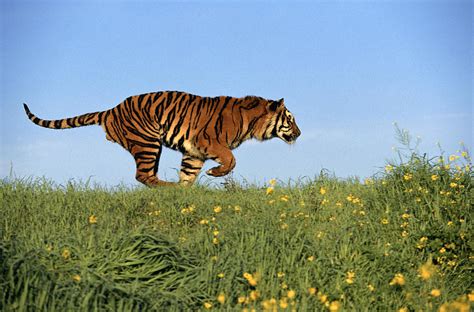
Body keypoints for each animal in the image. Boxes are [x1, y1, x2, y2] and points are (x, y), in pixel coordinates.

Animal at [23, 91, 300, 186]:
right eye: (291, 119)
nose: (299, 133)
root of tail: (111, 110)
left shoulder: (193, 152)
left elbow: (188, 175)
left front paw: (186, 193)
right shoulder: (209, 141)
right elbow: (231, 160)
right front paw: (213, 174)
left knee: (146, 176)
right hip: (148, 142)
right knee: (143, 176)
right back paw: (168, 188)